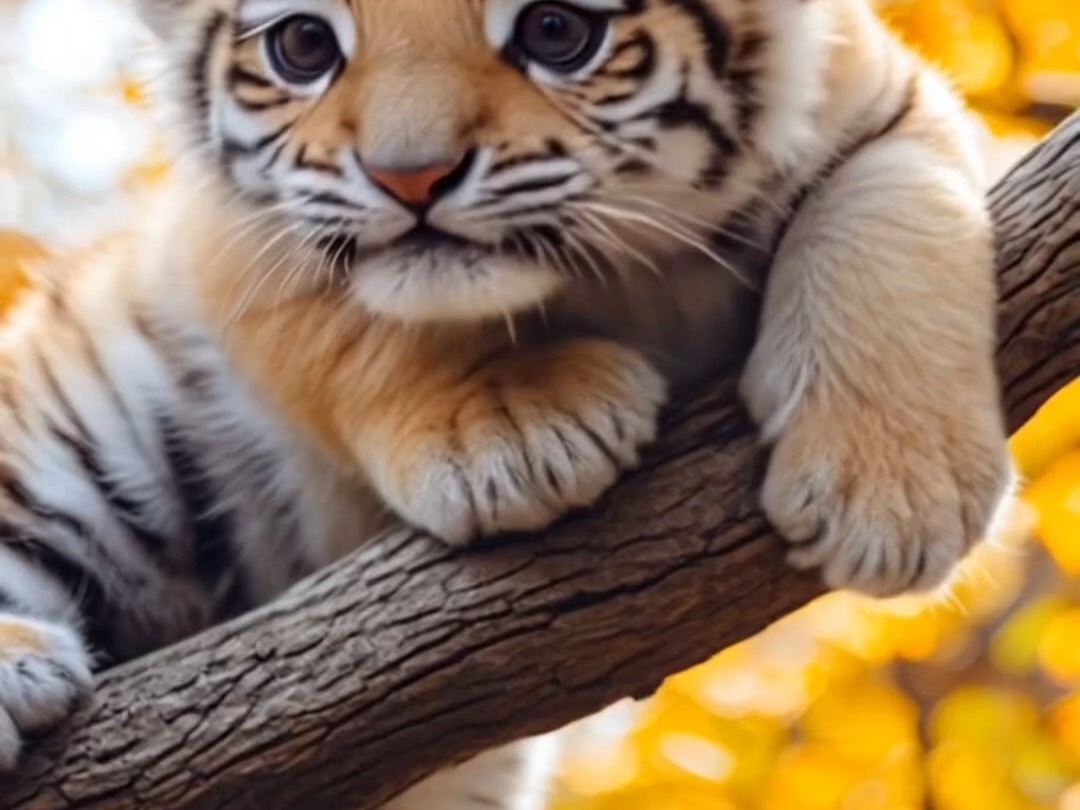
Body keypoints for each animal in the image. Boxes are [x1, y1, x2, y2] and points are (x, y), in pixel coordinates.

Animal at [0, 0, 1011, 805]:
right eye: (303, 44)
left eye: (557, 30)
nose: (410, 178)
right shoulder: (239, 235)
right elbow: (360, 323)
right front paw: (513, 432)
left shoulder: (884, 100)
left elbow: (890, 214)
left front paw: (893, 497)